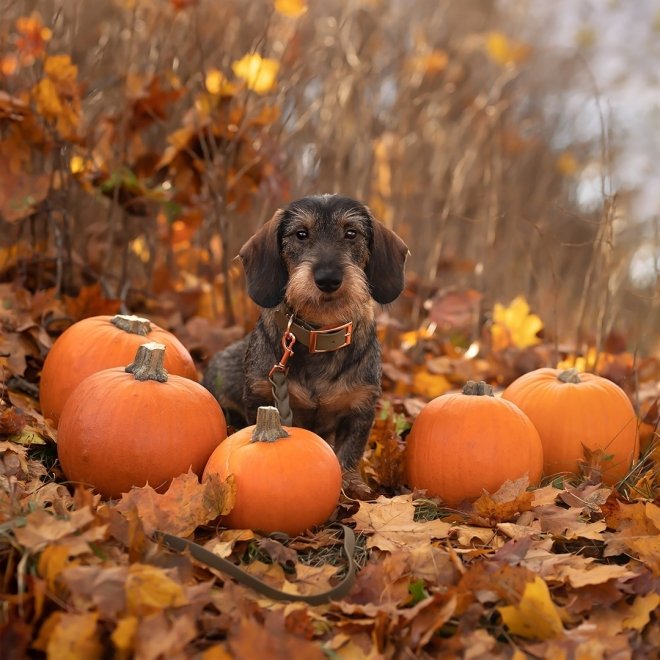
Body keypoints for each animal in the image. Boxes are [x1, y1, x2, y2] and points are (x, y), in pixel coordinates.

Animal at [202, 195, 408, 470]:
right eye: (301, 234)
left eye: (351, 233)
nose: (328, 279)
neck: (320, 335)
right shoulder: (262, 396)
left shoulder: (359, 409)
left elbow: (347, 460)